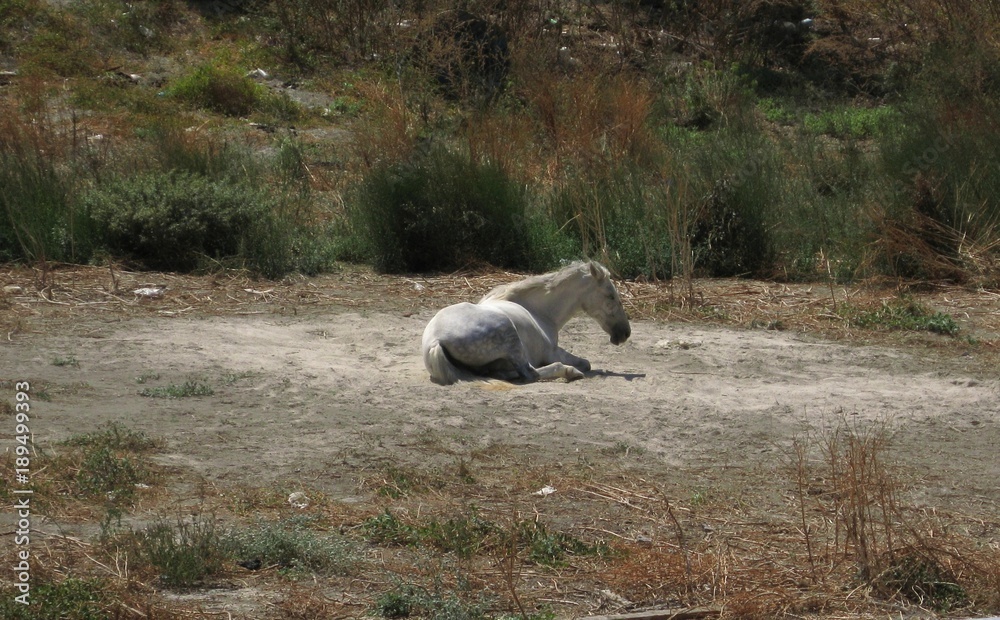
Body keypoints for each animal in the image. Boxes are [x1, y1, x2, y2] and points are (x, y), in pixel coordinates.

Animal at [422, 261, 631, 385]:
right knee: (530, 373)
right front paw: (576, 368)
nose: (625, 333)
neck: (538, 312)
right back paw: (569, 372)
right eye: (610, 296)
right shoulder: (552, 352)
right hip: (511, 338)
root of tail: (435, 341)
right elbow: (586, 363)